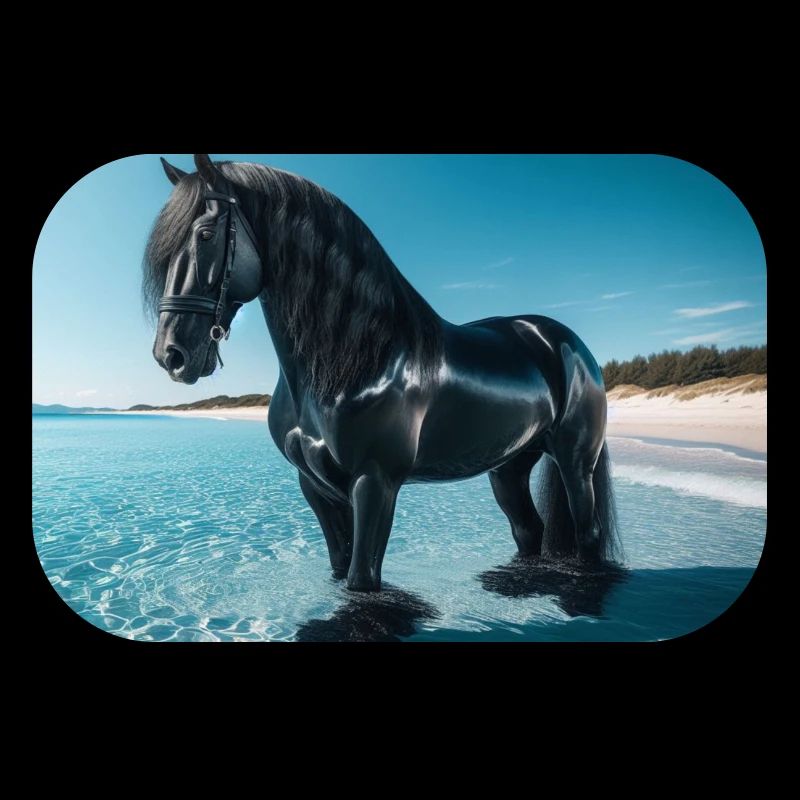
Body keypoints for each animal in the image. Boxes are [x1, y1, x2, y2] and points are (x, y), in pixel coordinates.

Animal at [144, 154, 621, 592]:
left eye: (205, 235)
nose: (172, 355)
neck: (356, 358)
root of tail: (565, 342)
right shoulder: (314, 486)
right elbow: (341, 568)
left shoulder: (375, 484)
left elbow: (362, 580)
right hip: (508, 466)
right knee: (528, 530)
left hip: (574, 462)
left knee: (587, 533)